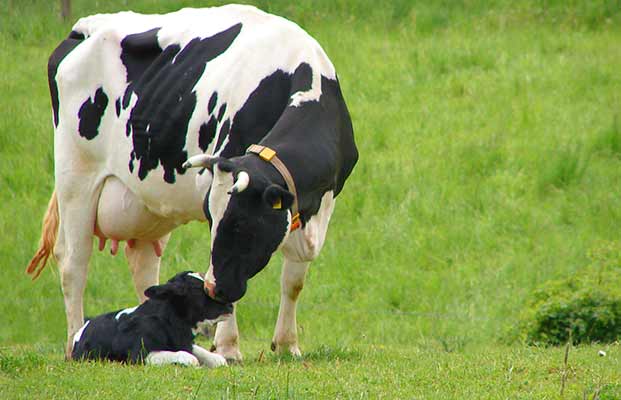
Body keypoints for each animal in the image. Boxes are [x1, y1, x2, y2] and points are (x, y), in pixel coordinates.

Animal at [71, 270, 230, 368]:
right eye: (198, 290)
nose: (230, 305)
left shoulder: (185, 343)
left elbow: (216, 358)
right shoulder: (139, 355)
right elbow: (187, 356)